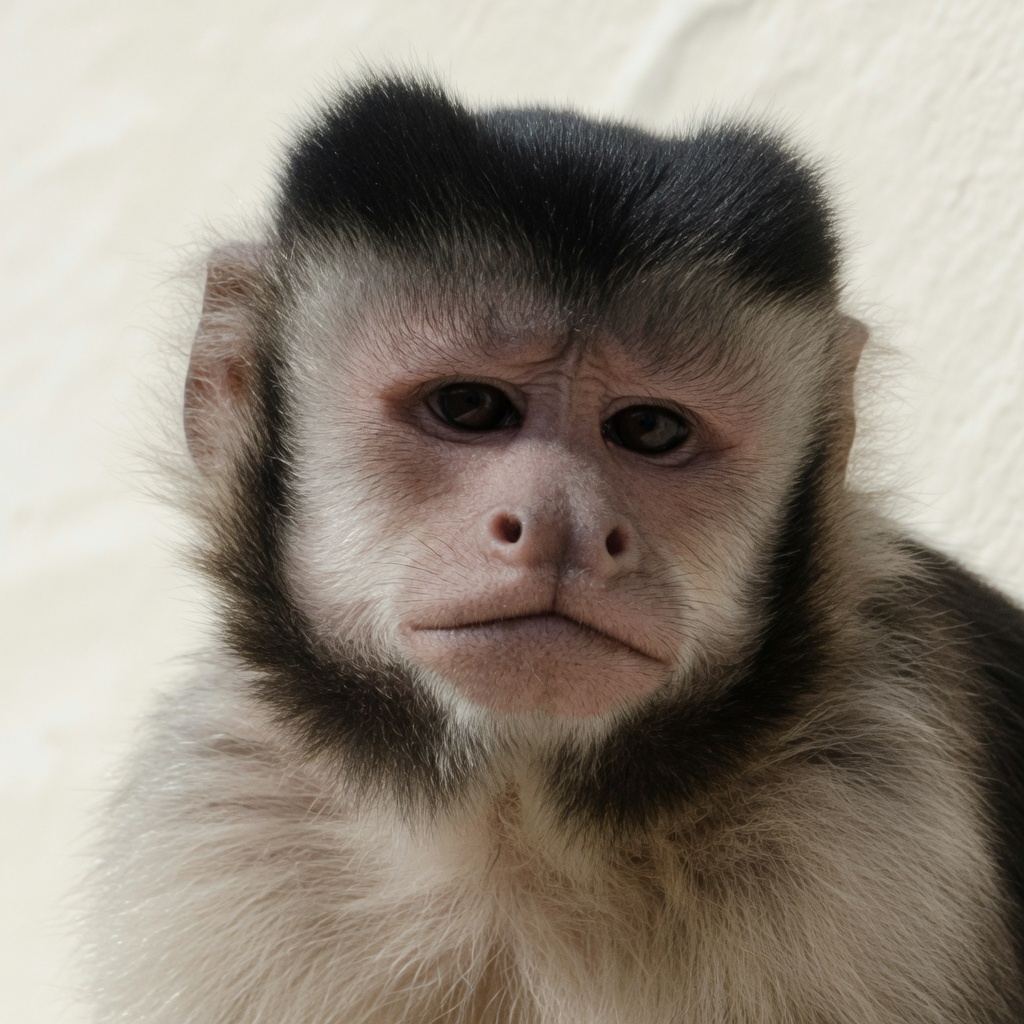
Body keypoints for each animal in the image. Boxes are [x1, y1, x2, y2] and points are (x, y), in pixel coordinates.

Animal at [85, 74, 1024, 1023]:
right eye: (469, 406)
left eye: (649, 428)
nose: (563, 526)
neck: (516, 826)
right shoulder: (218, 833)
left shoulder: (876, 822)